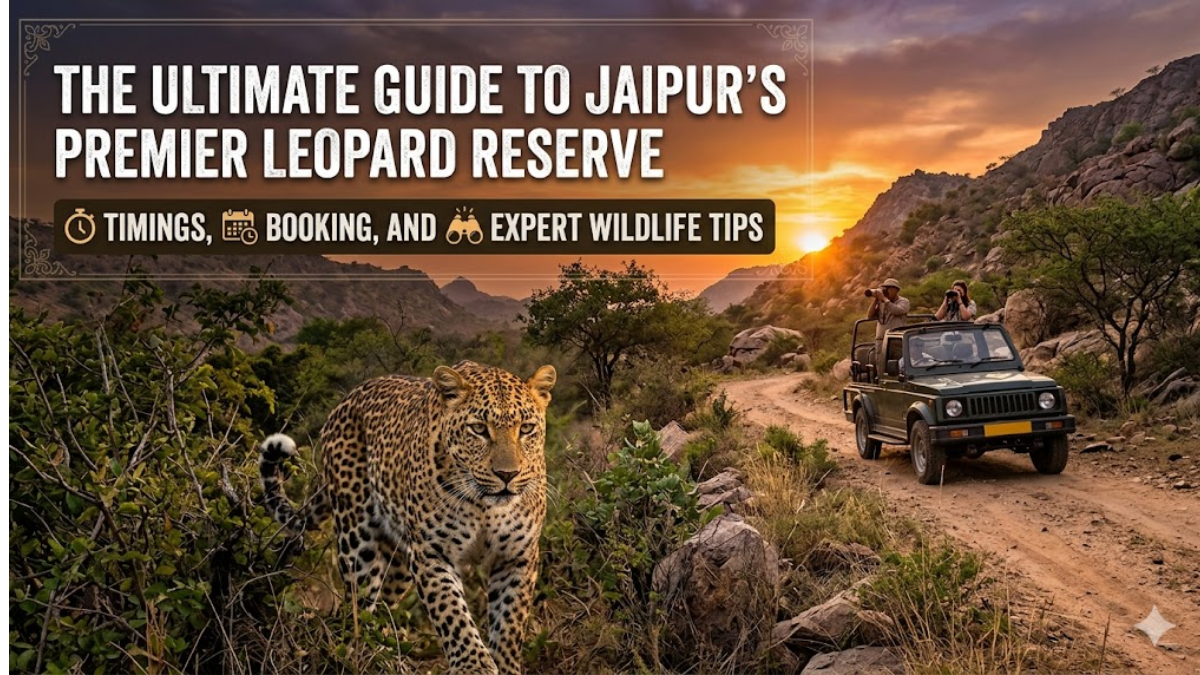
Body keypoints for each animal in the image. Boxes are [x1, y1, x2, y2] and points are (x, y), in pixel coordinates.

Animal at [260, 360, 556, 675]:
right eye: (478, 429)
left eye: (526, 429)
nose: (507, 475)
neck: (485, 507)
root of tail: (345, 400)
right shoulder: (431, 554)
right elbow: (453, 616)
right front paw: (473, 666)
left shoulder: (517, 557)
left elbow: (509, 624)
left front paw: (504, 664)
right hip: (358, 544)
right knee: (357, 609)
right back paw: (357, 655)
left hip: (400, 559)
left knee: (382, 606)